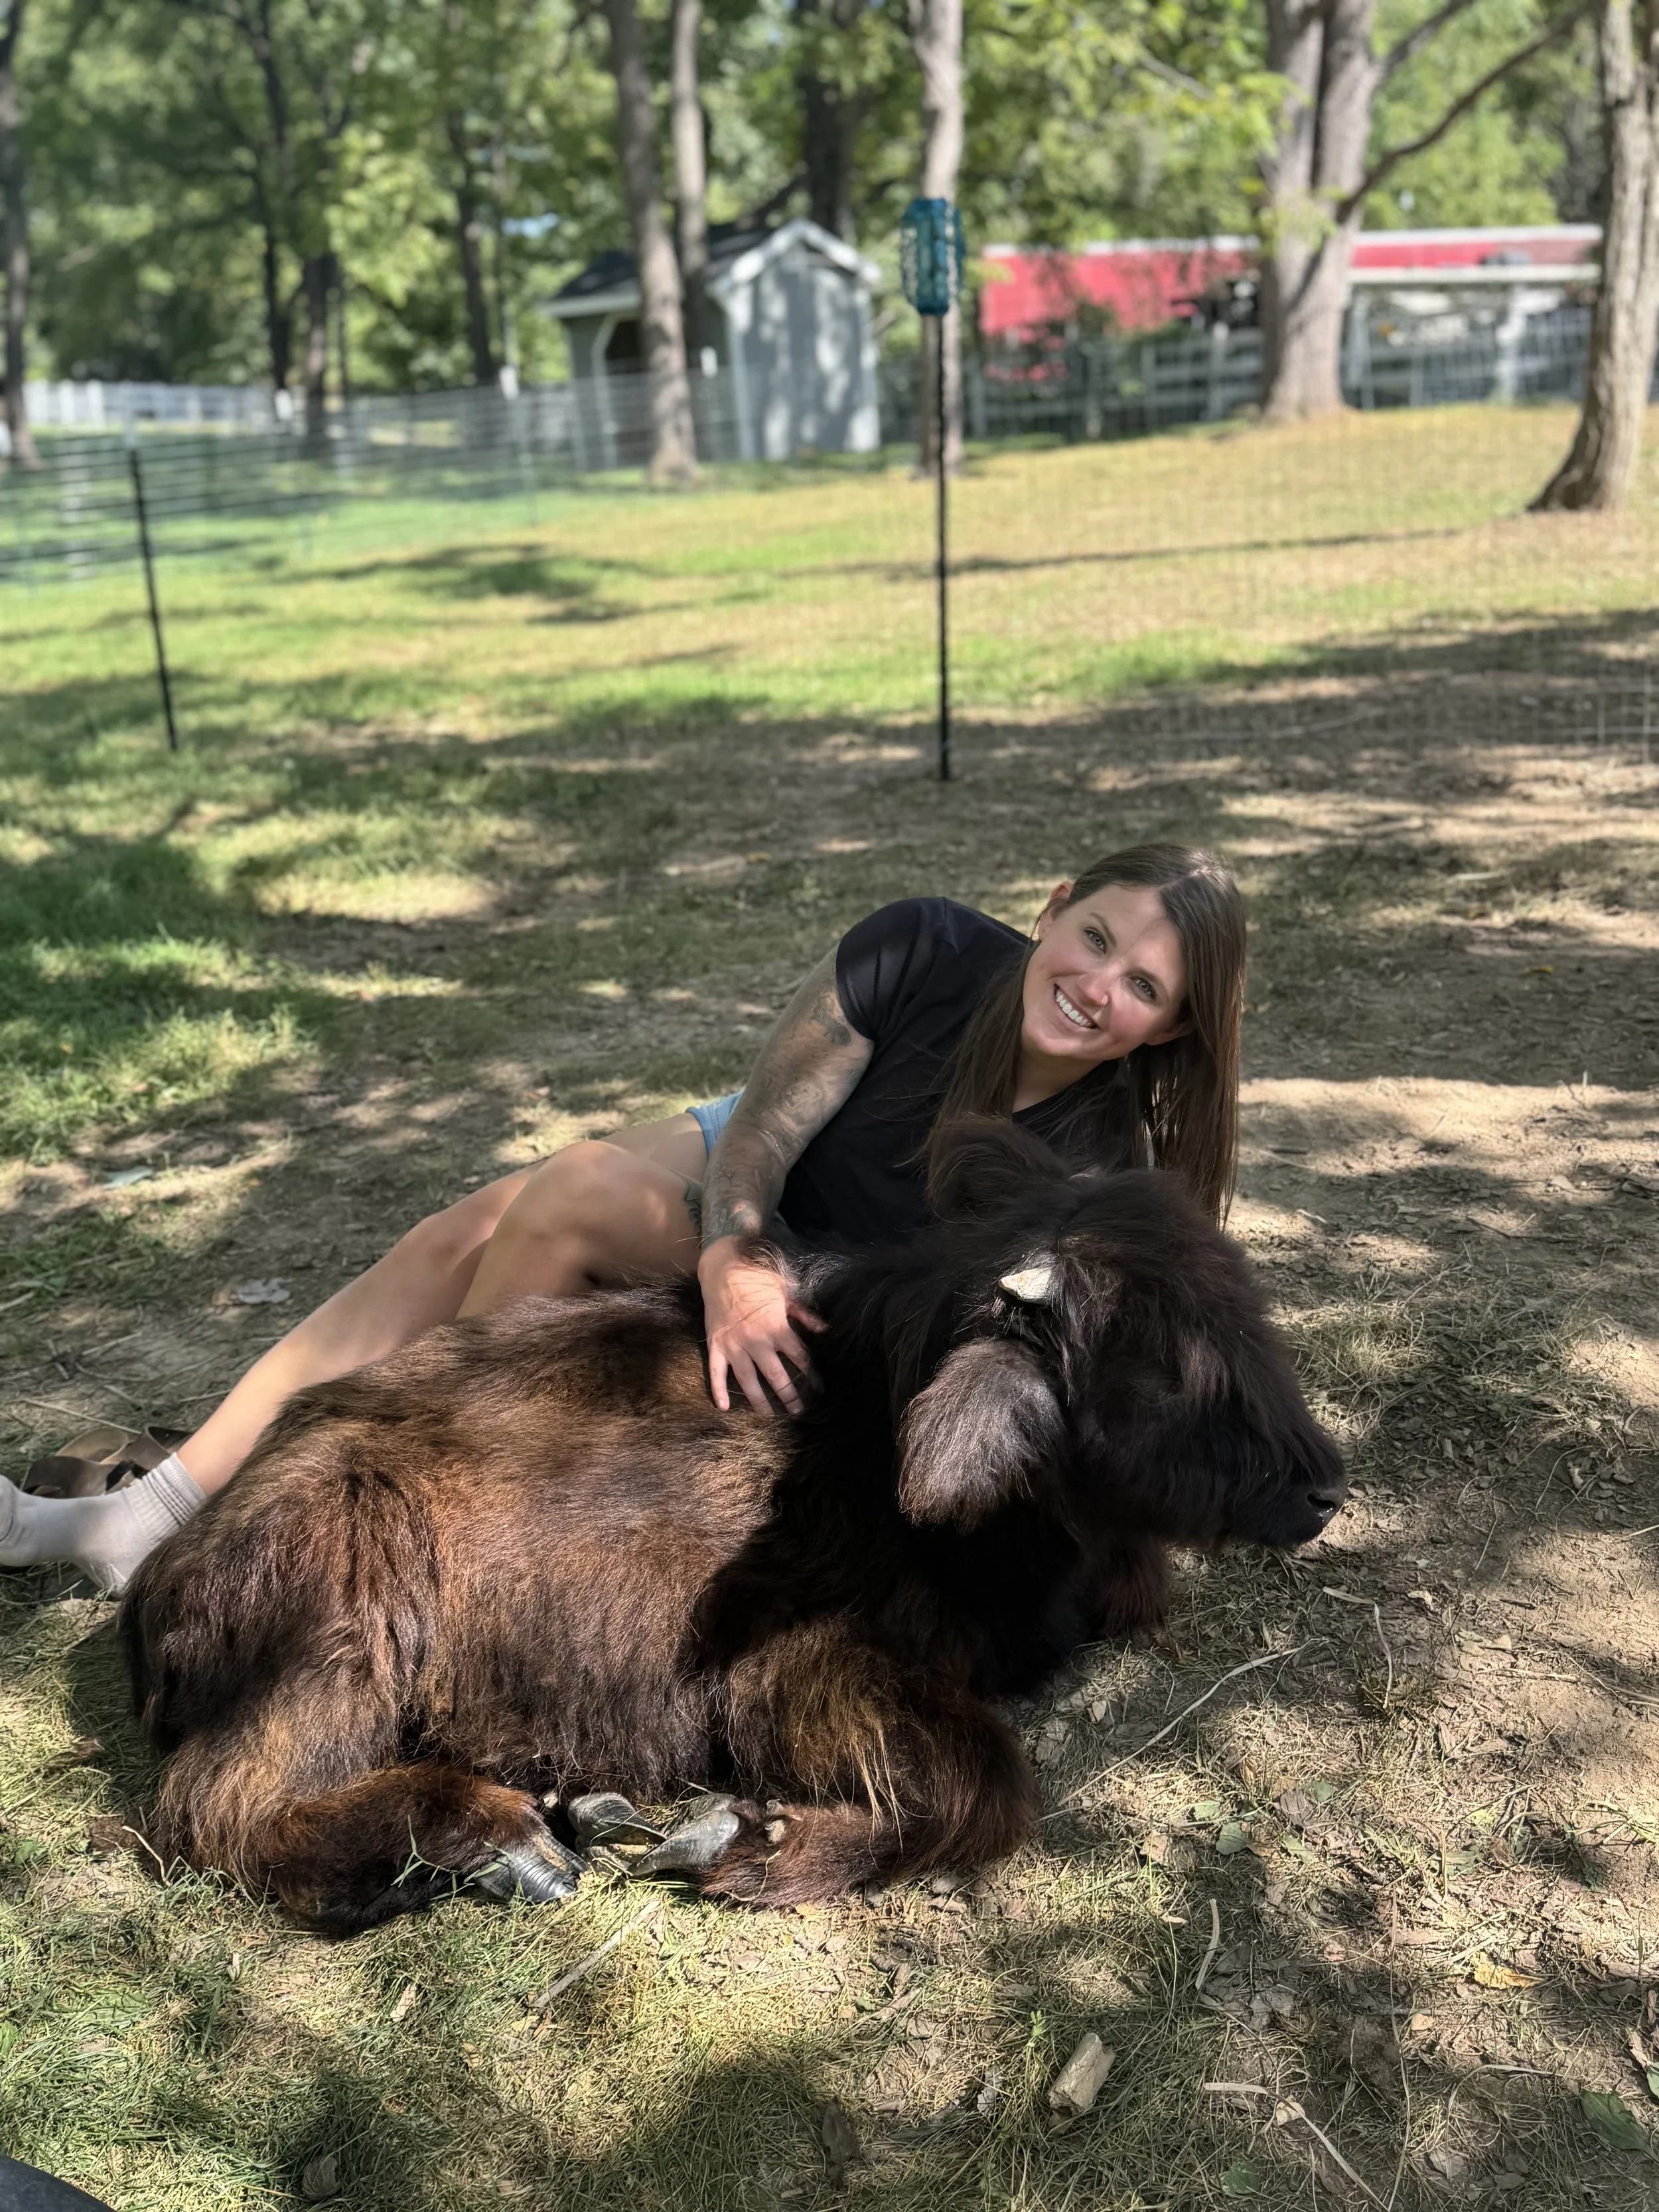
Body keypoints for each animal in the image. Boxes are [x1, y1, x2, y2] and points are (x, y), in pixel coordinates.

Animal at [122, 1123, 1345, 1933]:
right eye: (1165, 1357)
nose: (1323, 1490)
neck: (878, 1423)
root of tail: (167, 1580)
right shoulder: (803, 1669)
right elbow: (992, 1781)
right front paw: (746, 1840)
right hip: (339, 1648)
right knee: (212, 1810)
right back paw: (499, 1841)